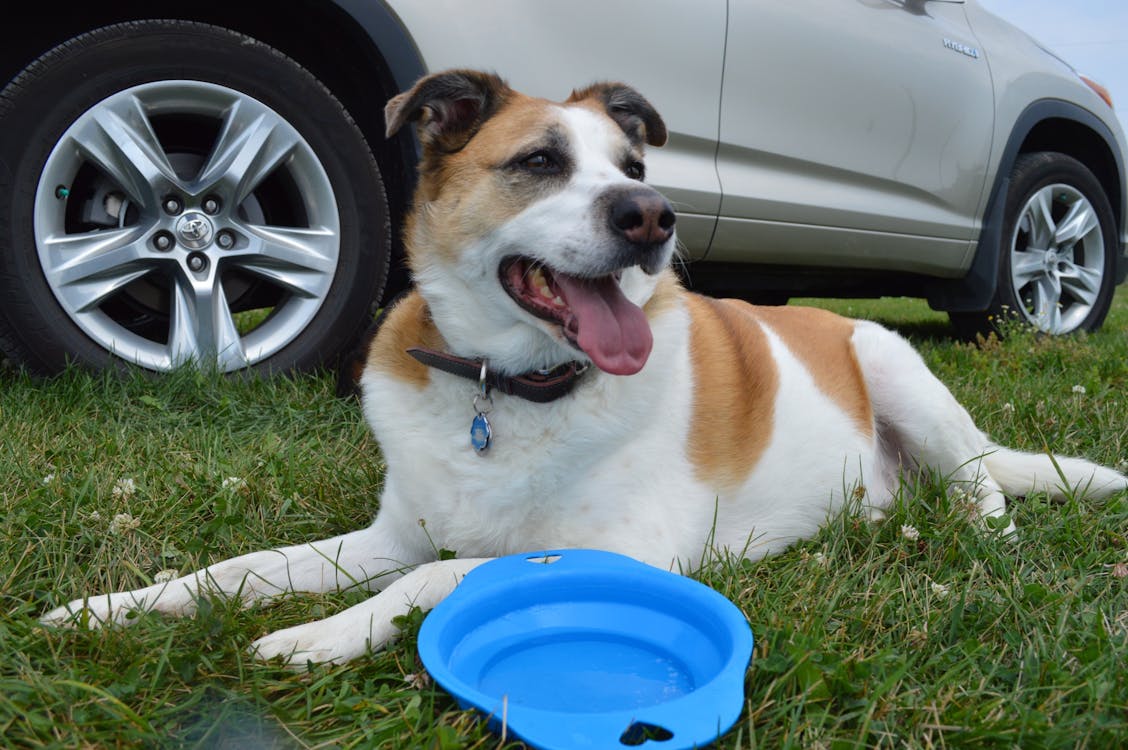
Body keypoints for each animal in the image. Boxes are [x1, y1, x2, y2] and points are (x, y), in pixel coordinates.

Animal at [41, 70, 1128, 663]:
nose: (655, 218)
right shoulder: (389, 534)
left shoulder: (630, 547)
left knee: (986, 485)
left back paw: (987, 541)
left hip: (894, 365)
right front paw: (110, 608)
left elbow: (444, 578)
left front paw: (319, 636)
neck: (504, 391)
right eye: (539, 163)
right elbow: (238, 570)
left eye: (635, 169)